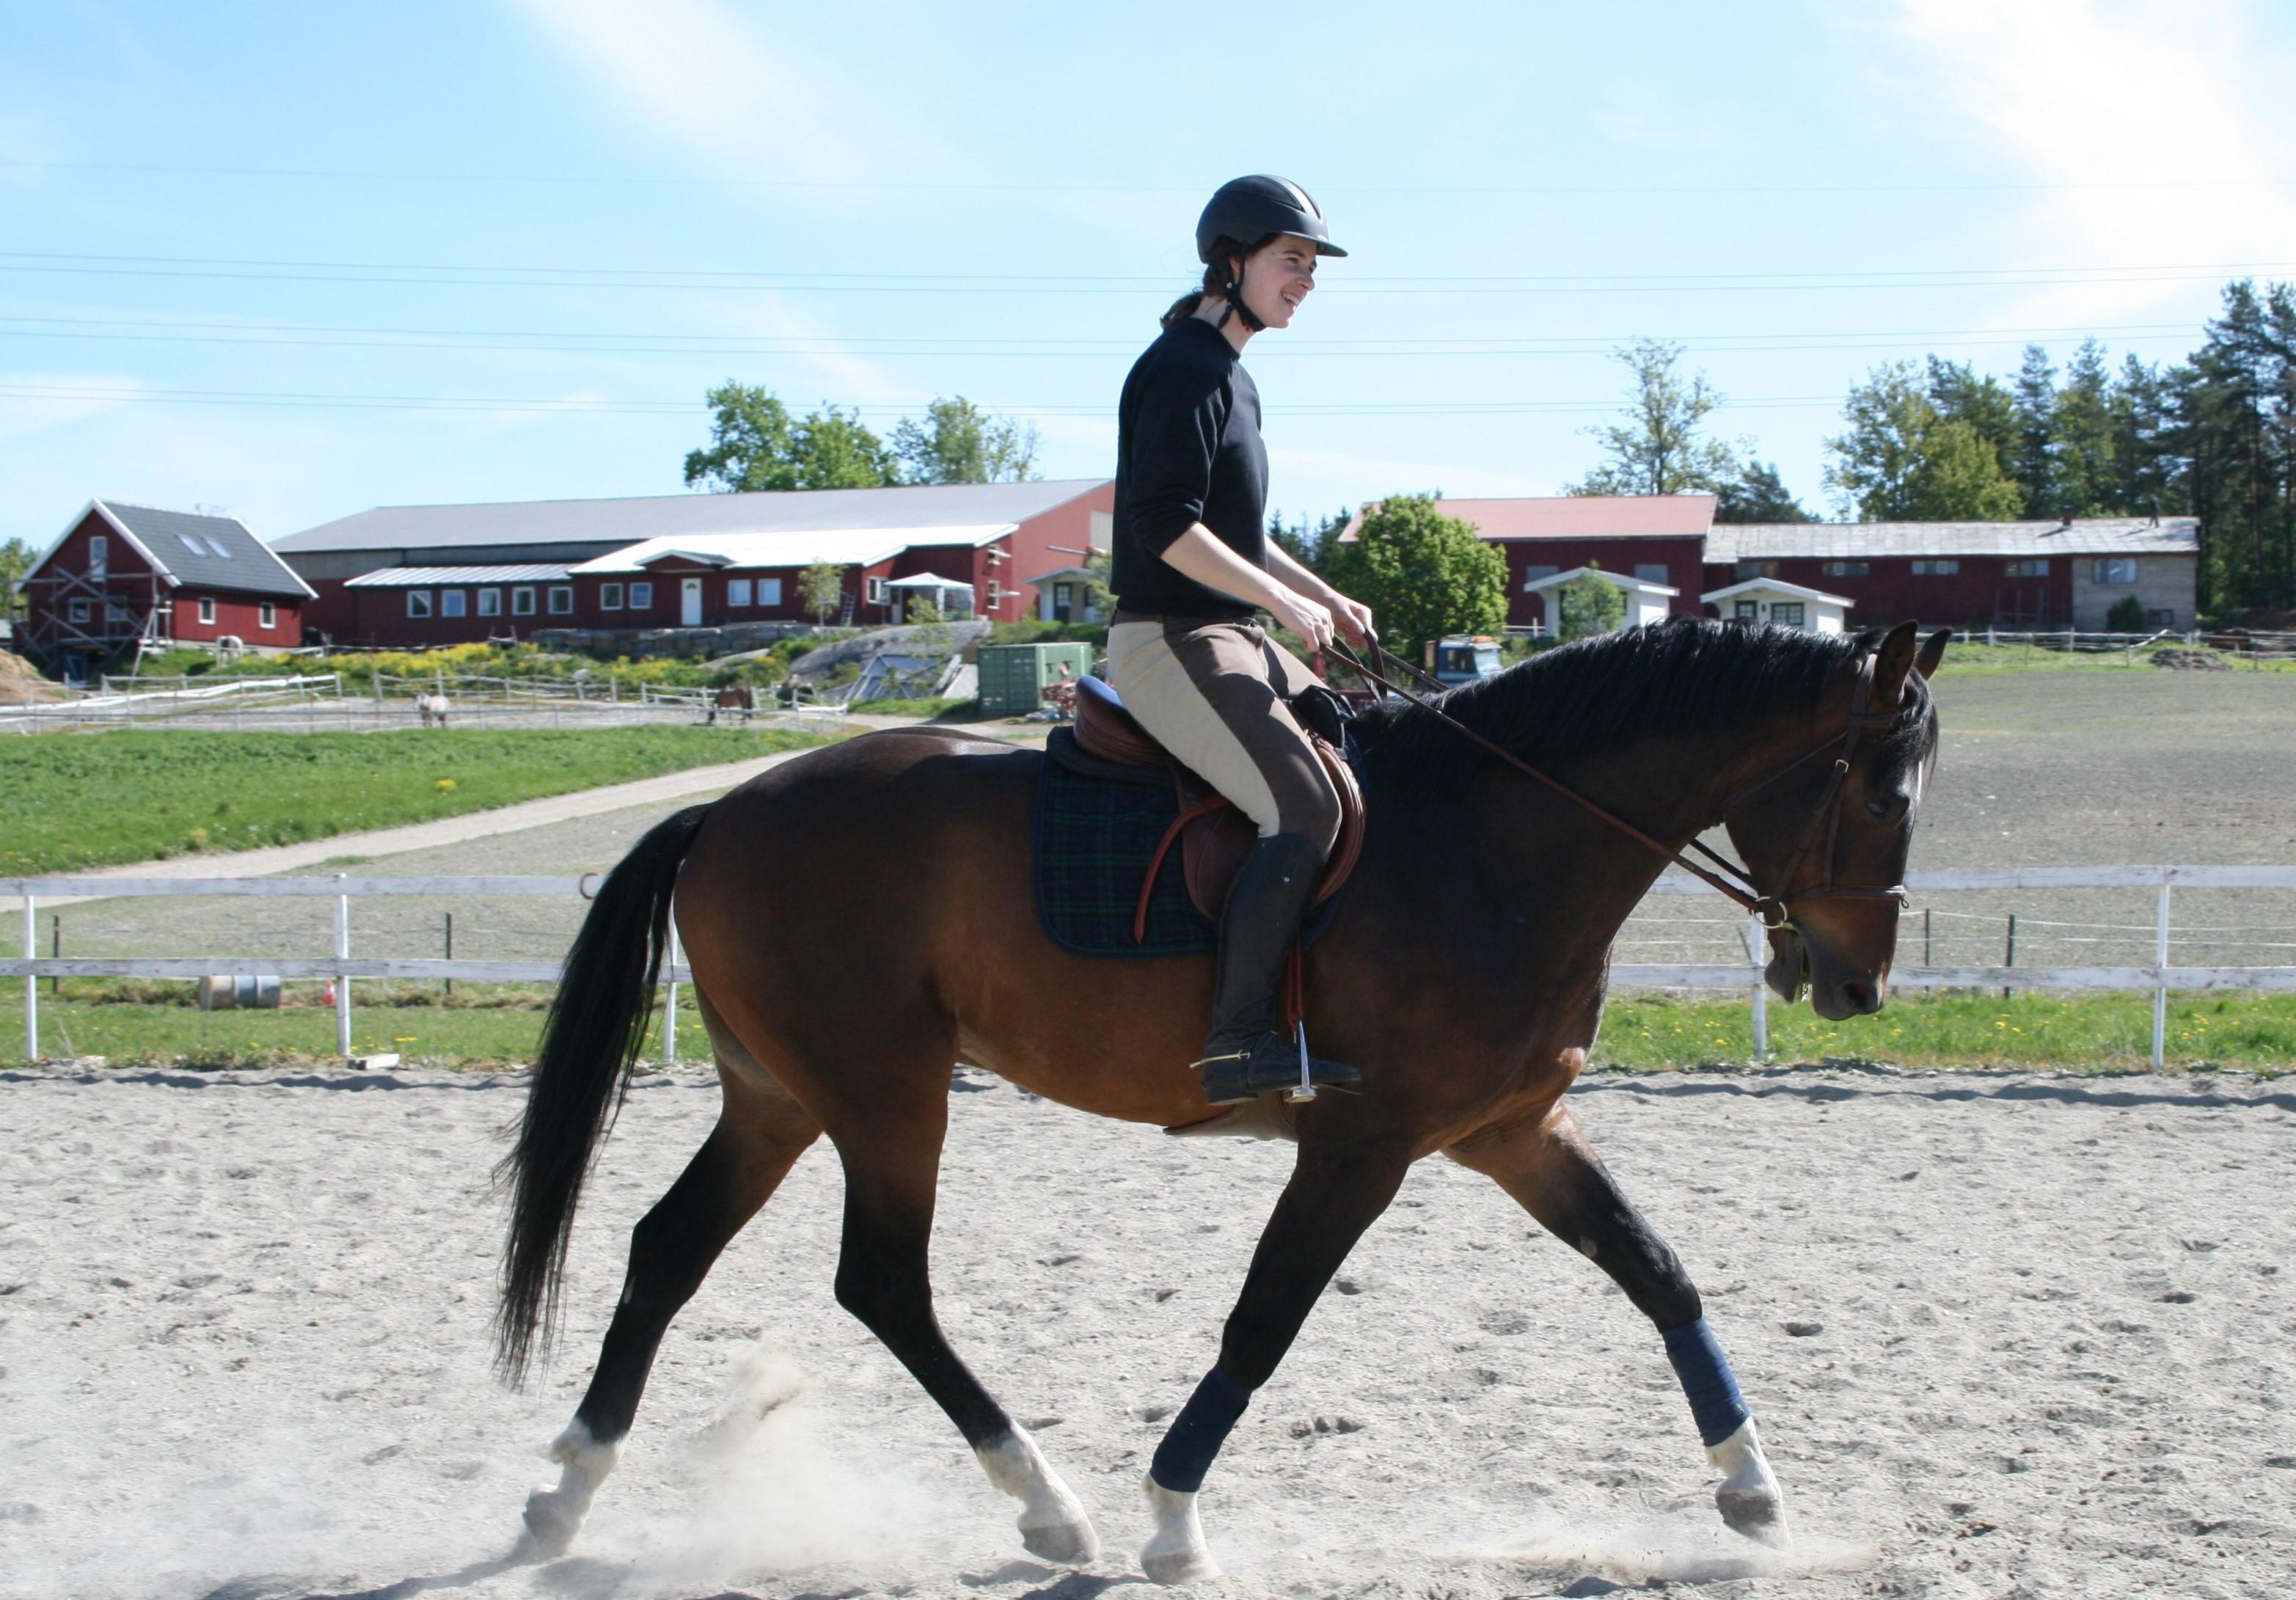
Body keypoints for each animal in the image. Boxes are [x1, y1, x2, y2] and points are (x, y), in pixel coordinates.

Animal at [493, 619, 1947, 1579]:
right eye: (1883, 792)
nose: (1857, 984)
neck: (1496, 840)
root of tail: (726, 810)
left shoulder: (1511, 1130)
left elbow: (1660, 1273)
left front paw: (1754, 1491)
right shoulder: (1364, 1147)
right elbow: (1263, 1324)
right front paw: (1172, 1516)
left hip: (779, 1097)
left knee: (670, 1248)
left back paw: (567, 1491)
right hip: (886, 1094)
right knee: (884, 1283)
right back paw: (1048, 1504)